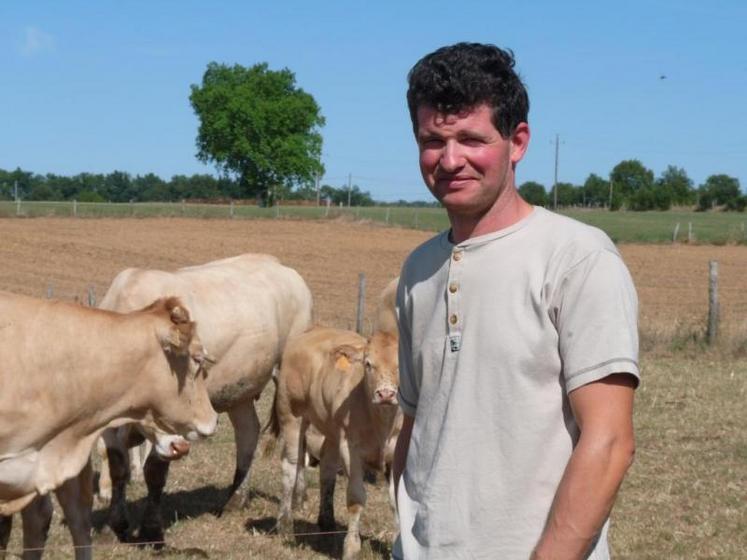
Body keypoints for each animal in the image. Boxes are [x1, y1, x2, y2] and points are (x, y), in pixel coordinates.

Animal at [96, 256, 312, 544]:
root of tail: (280, 266)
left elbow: (154, 472)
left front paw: (151, 528)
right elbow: (117, 466)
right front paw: (113, 525)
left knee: (297, 438)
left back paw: (298, 495)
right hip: (240, 390)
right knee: (248, 432)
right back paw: (236, 498)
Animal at [270, 324, 400, 560]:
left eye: (399, 365)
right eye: (368, 364)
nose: (385, 394)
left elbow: (396, 501)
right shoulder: (350, 448)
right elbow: (356, 498)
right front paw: (351, 547)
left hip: (331, 431)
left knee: (327, 470)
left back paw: (327, 522)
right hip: (291, 414)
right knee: (290, 466)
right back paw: (285, 525)